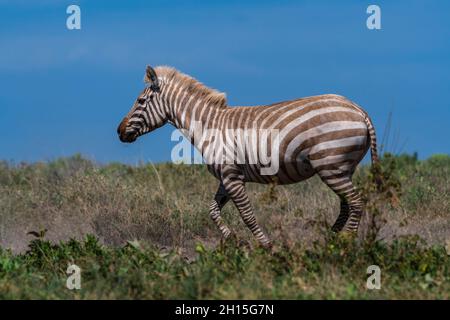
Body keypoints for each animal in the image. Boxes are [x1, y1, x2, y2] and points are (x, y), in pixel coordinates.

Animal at [118, 65, 378, 249]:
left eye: (140, 101)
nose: (119, 132)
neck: (209, 126)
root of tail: (359, 110)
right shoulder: (226, 176)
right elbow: (212, 211)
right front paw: (233, 239)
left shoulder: (232, 177)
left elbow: (247, 215)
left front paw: (266, 246)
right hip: (341, 169)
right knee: (346, 205)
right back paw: (330, 240)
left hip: (330, 166)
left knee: (356, 203)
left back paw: (345, 244)